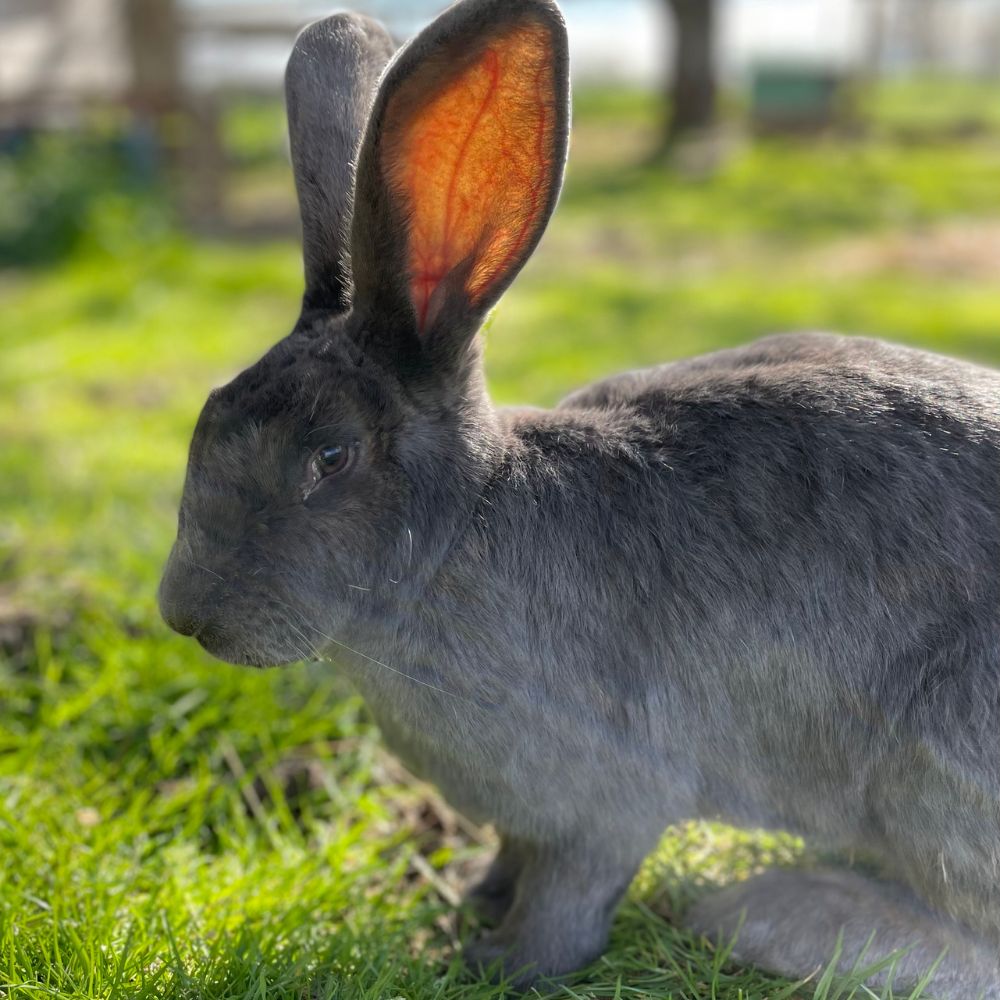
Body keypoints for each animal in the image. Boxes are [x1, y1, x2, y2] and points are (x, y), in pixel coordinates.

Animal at [158, 0, 1000, 994]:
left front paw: (495, 960)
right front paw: (473, 900)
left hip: (937, 767)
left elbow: (565, 906)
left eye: (330, 456)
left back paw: (774, 916)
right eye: (210, 412)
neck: (461, 534)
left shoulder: (604, 805)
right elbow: (514, 856)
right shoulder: (530, 816)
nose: (185, 613)